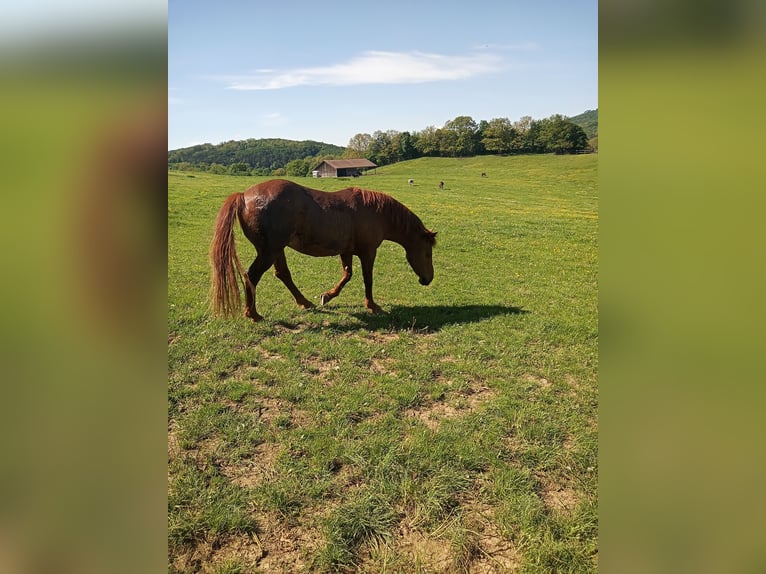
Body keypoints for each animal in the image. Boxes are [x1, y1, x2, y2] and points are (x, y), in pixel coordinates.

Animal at [210, 179, 437, 322]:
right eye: (427, 253)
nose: (427, 280)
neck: (375, 212)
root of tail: (243, 196)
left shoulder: (346, 251)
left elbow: (347, 275)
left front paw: (327, 296)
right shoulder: (368, 252)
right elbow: (367, 279)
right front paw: (372, 305)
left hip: (276, 250)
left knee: (283, 274)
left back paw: (305, 303)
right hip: (268, 251)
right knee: (252, 276)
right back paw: (253, 314)